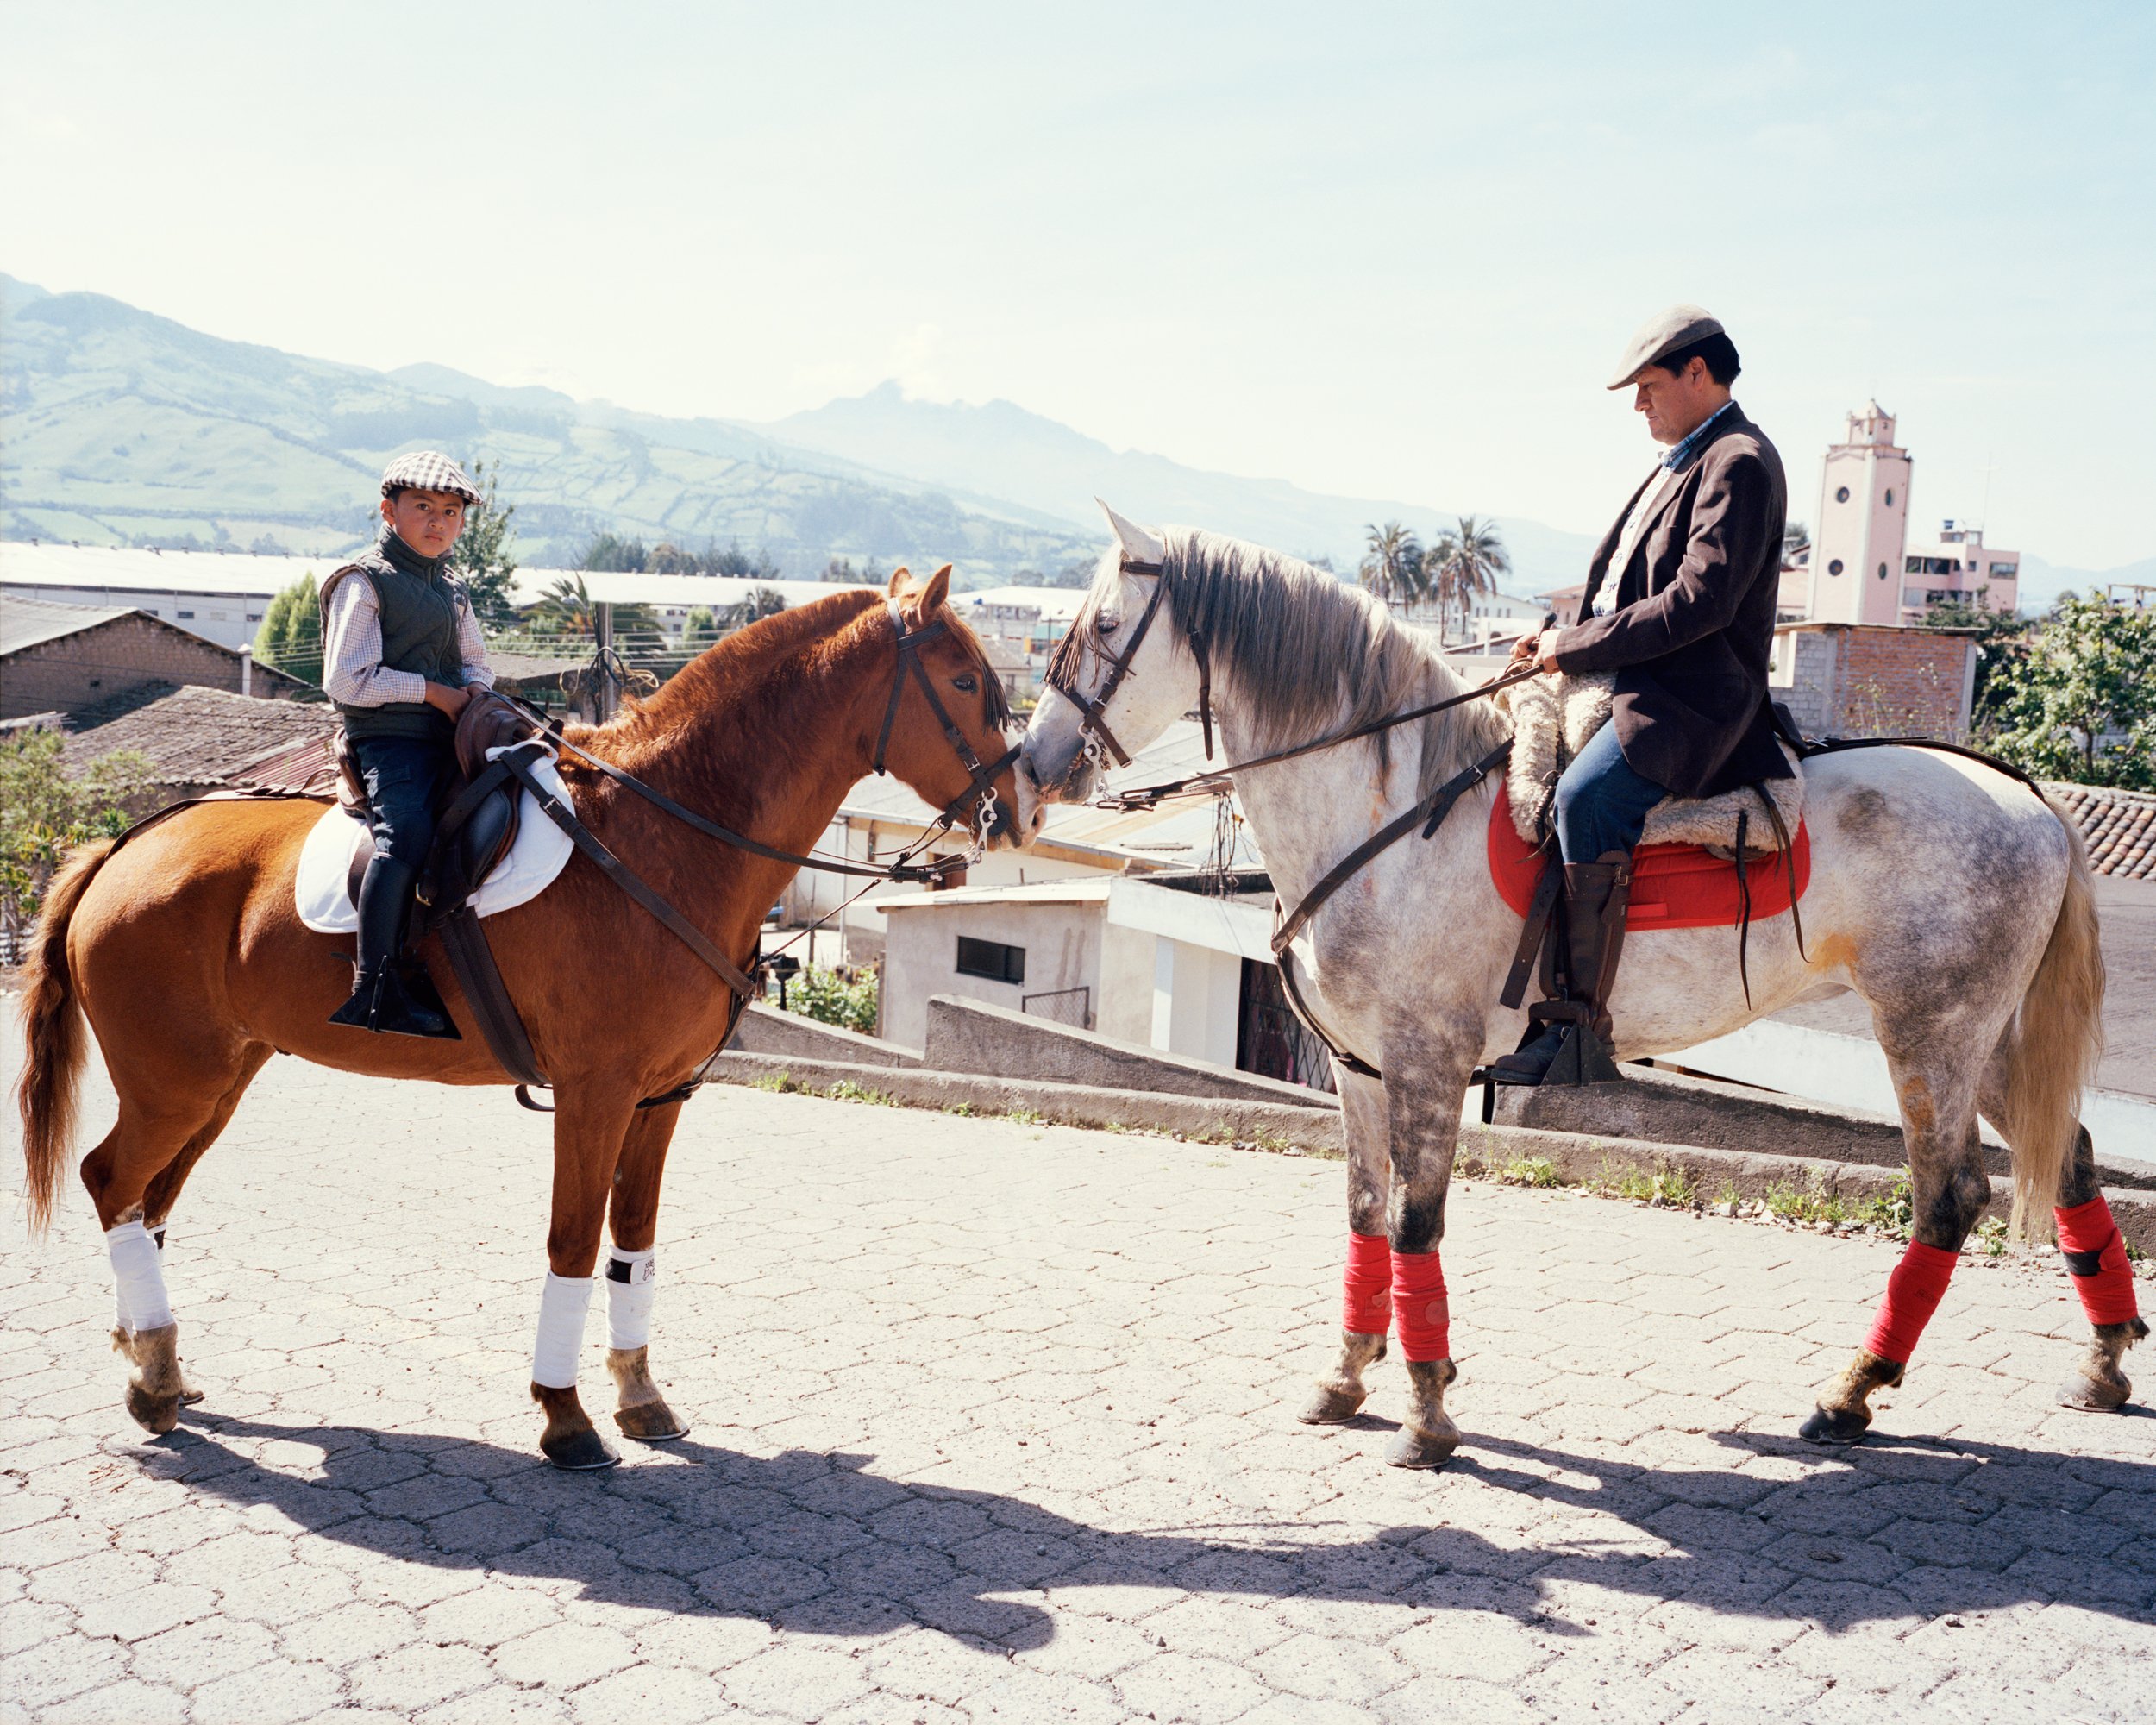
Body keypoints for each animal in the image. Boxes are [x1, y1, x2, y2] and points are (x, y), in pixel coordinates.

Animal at [16, 565, 1013, 1466]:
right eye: (964, 681)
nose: (1022, 799)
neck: (665, 832)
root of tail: (121, 847)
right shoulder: (594, 1094)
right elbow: (572, 1245)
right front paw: (565, 1417)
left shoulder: (660, 1100)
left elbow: (632, 1246)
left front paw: (641, 1398)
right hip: (172, 1082)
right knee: (110, 1180)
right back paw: (152, 1382)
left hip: (218, 1078)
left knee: (147, 1202)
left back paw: (156, 1361)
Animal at [1018, 505, 2130, 1466]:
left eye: (1105, 624)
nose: (1033, 764)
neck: (1389, 818)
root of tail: (2029, 800)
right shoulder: (1357, 1069)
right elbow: (1366, 1213)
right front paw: (1345, 1378)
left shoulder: (1426, 1062)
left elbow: (1415, 1224)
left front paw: (1427, 1410)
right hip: (1986, 1038)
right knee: (2070, 1160)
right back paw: (2102, 1361)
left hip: (1927, 1032)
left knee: (1948, 1197)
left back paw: (1850, 1390)